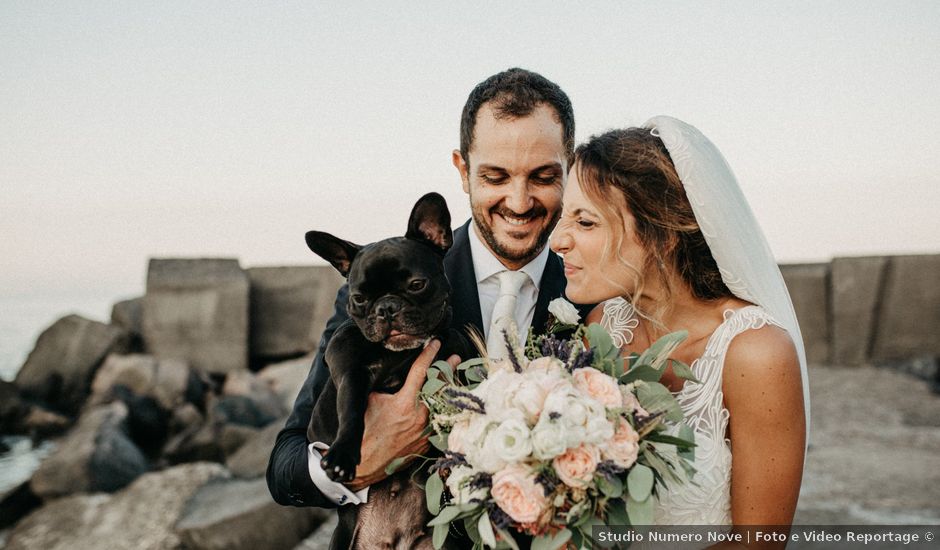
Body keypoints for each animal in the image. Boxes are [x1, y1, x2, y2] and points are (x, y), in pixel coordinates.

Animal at [304, 192, 474, 548]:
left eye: (417, 284)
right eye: (358, 298)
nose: (387, 307)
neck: (402, 355)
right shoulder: (351, 373)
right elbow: (352, 410)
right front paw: (342, 456)